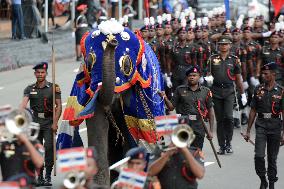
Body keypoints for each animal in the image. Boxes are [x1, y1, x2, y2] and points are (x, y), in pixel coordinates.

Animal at [61, 18, 165, 185]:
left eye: (126, 65)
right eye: (89, 62)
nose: (112, 42)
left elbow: (129, 128)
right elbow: (97, 125)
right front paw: (97, 185)